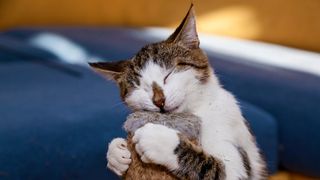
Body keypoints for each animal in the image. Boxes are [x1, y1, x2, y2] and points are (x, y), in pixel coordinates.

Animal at [89, 4, 268, 180]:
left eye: (169, 74)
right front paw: (116, 153)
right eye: (139, 86)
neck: (198, 109)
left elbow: (215, 167)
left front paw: (159, 140)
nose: (159, 100)